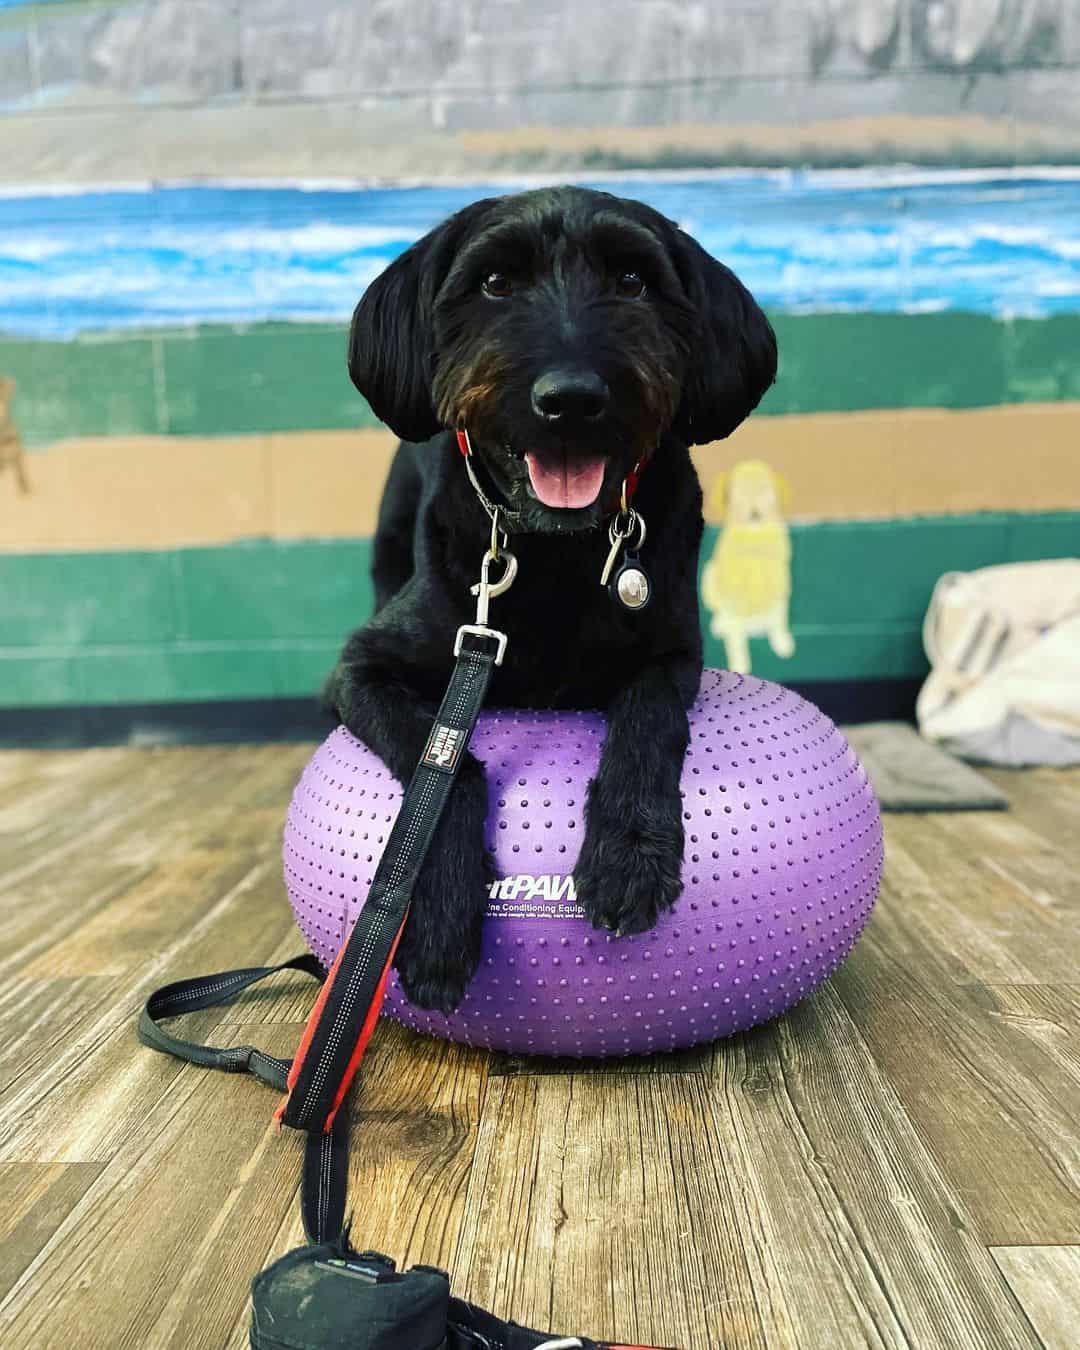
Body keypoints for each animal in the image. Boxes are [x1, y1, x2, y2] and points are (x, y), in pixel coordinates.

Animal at [330, 190, 777, 1015]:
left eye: (633, 280)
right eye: (494, 282)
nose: (570, 399)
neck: (555, 551)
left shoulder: (672, 651)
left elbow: (648, 717)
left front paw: (629, 855)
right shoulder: (361, 668)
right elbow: (447, 767)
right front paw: (435, 919)